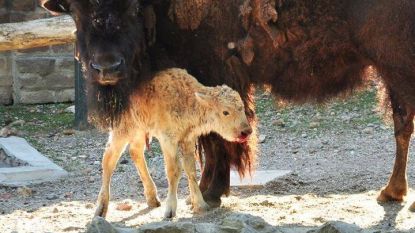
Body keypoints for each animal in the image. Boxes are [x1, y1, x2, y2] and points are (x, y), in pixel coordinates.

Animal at [95, 68, 252, 218]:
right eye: (225, 112)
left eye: (242, 108)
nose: (246, 131)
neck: (188, 99)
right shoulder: (168, 140)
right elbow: (174, 170)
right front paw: (170, 210)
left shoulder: (188, 139)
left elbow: (190, 169)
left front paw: (200, 205)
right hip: (124, 129)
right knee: (109, 158)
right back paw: (101, 209)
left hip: (140, 129)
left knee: (135, 151)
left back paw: (153, 199)